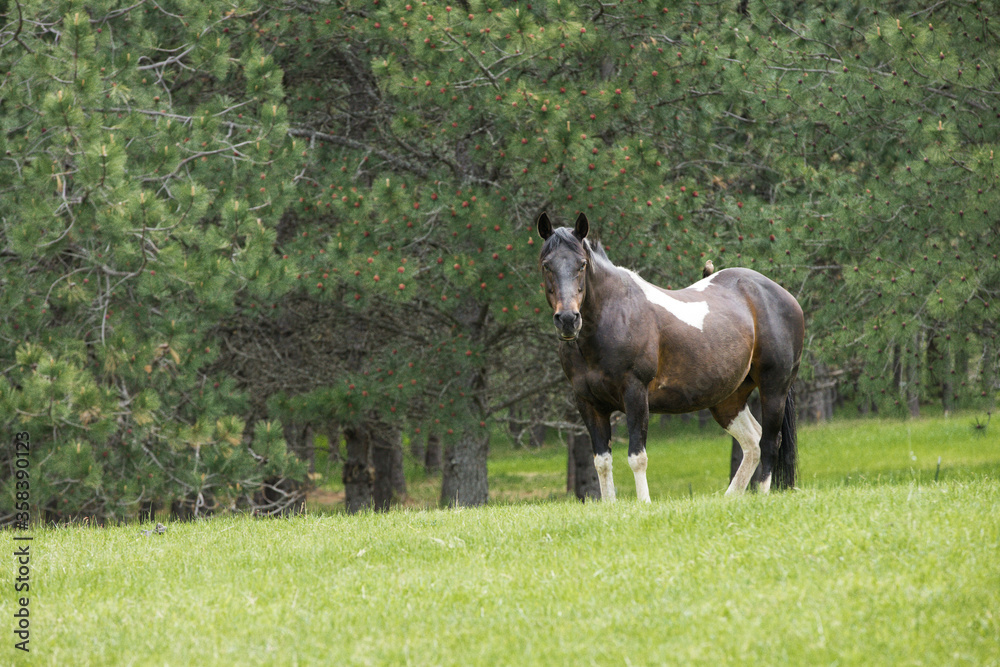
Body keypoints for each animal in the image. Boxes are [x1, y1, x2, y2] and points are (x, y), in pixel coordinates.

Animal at [537, 212, 804, 502]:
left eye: (582, 264)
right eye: (546, 265)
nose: (567, 320)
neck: (615, 316)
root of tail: (782, 295)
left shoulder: (635, 393)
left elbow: (637, 457)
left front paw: (644, 504)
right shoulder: (588, 403)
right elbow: (602, 461)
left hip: (774, 388)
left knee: (769, 442)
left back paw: (762, 497)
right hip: (728, 399)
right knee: (752, 442)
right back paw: (730, 498)